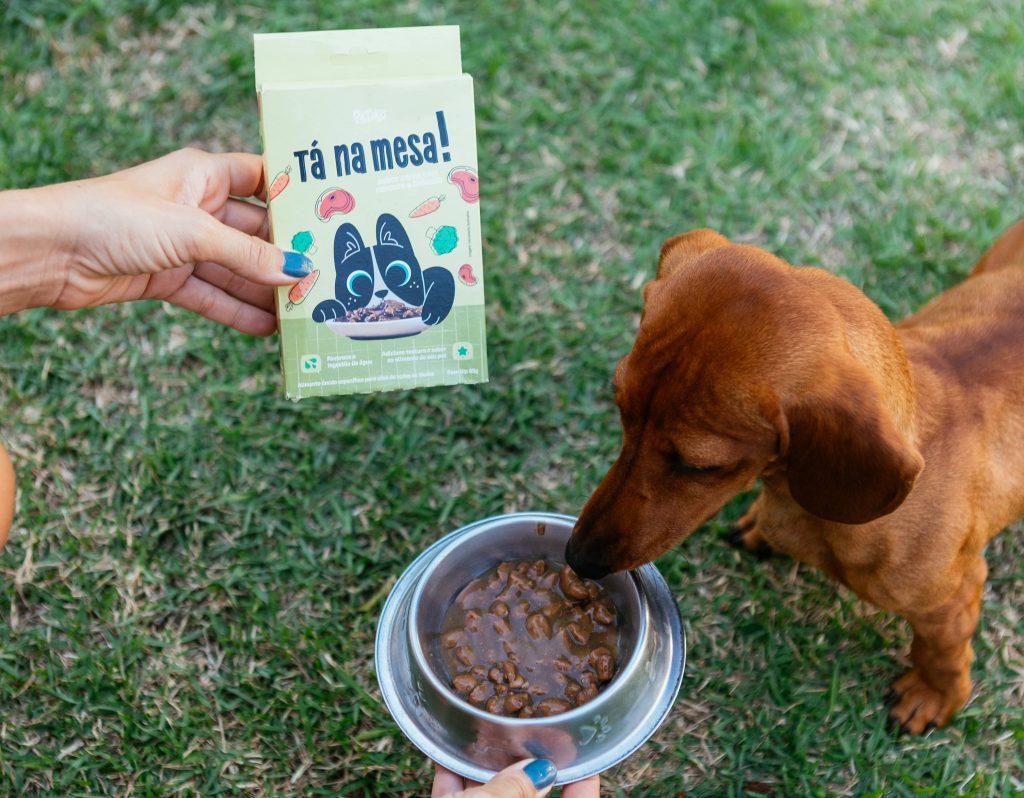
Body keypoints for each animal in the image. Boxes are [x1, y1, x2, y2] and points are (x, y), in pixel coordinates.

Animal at [565, 221, 1024, 733]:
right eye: (621, 410)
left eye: (700, 466)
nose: (578, 558)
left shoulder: (950, 598)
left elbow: (942, 654)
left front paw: (934, 696)